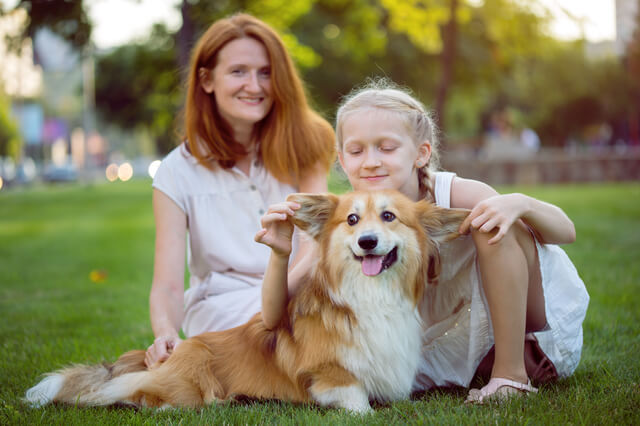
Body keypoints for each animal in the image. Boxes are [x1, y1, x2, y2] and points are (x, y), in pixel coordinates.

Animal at [25, 190, 468, 412]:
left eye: (389, 217)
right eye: (353, 220)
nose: (367, 242)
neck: (370, 296)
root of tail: (167, 353)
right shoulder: (329, 375)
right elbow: (357, 402)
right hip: (193, 375)